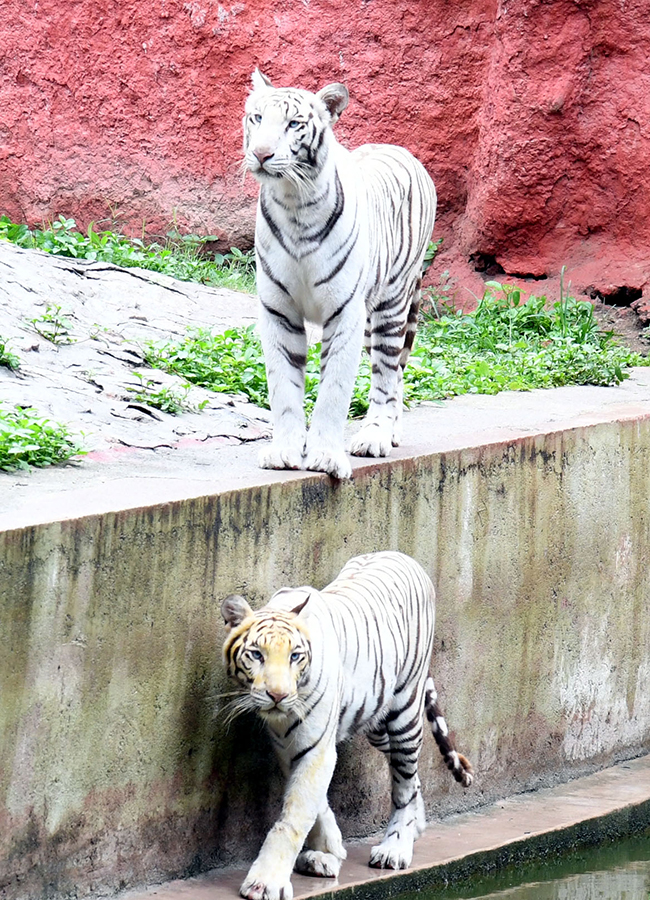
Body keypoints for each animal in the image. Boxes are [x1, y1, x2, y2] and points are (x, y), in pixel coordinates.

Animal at [221, 550, 473, 900]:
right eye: (256, 655)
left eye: (295, 656)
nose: (278, 695)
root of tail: (405, 556)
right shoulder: (289, 746)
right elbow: (316, 805)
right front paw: (327, 852)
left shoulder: (316, 747)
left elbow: (294, 817)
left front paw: (265, 882)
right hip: (375, 721)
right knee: (409, 777)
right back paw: (417, 825)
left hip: (404, 713)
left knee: (404, 783)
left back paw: (396, 847)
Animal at [243, 70, 437, 480]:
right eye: (257, 118)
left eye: (293, 124)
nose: (262, 154)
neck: (294, 205)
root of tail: (402, 150)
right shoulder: (278, 311)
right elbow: (283, 387)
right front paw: (285, 452)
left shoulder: (345, 311)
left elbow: (334, 390)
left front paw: (326, 457)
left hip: (392, 305)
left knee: (386, 372)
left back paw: (376, 436)